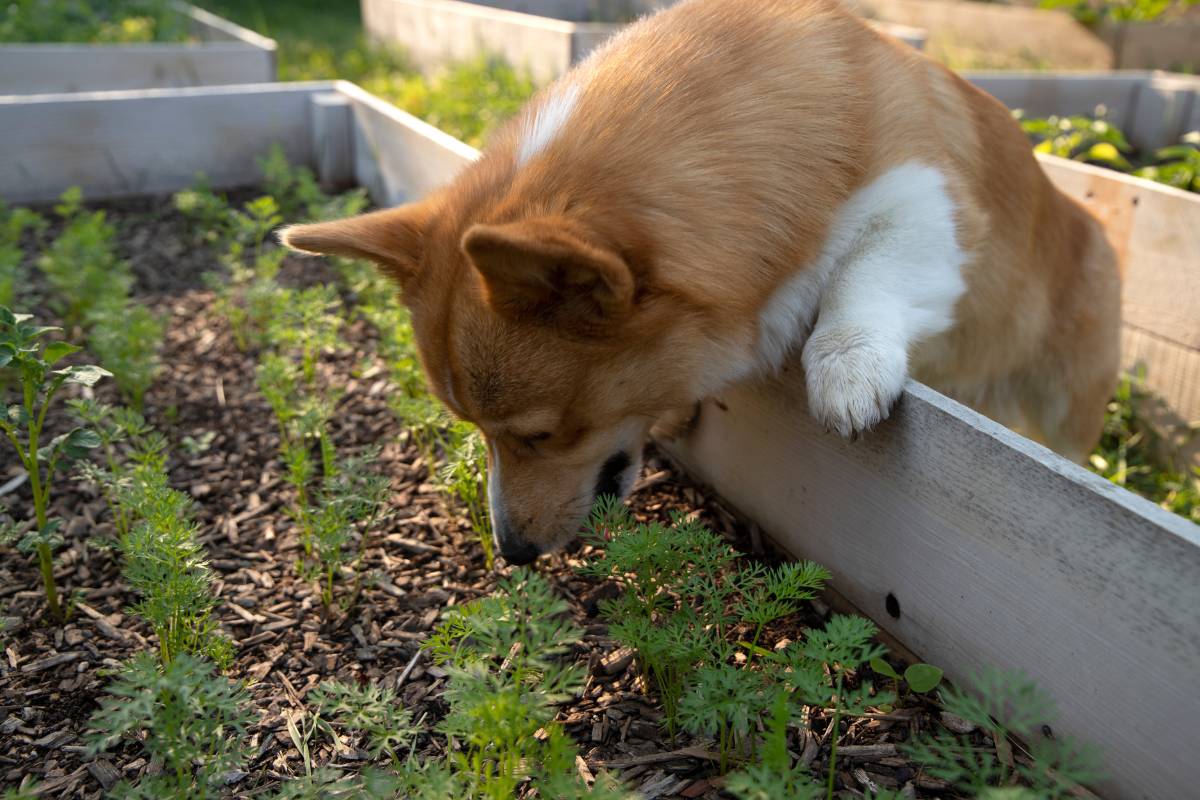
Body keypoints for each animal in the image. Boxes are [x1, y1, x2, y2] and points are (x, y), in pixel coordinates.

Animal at [280, 0, 1113, 566]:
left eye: (540, 435)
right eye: (477, 432)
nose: (511, 554)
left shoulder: (926, 203)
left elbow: (865, 274)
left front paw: (846, 367)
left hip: (1065, 404)